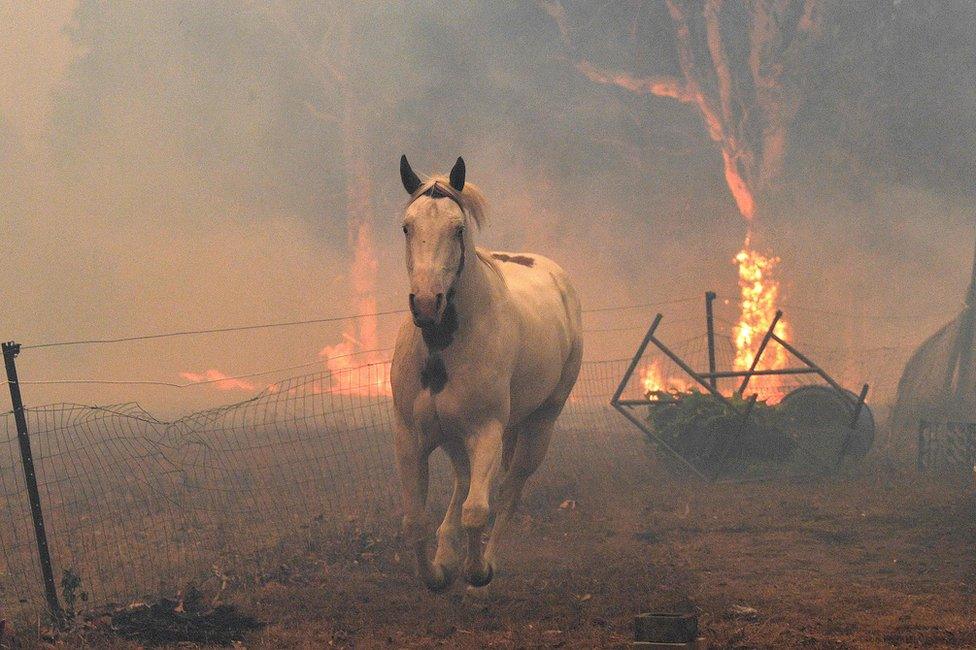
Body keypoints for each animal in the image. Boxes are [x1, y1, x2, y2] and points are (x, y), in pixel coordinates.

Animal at [392, 156, 584, 588]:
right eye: (407, 226)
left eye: (458, 228)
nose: (426, 304)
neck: (442, 349)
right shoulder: (412, 437)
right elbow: (414, 520)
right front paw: (436, 574)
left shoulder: (486, 432)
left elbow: (478, 510)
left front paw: (476, 570)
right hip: (455, 437)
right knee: (465, 482)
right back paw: (447, 553)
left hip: (539, 425)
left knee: (509, 490)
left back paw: (487, 560)